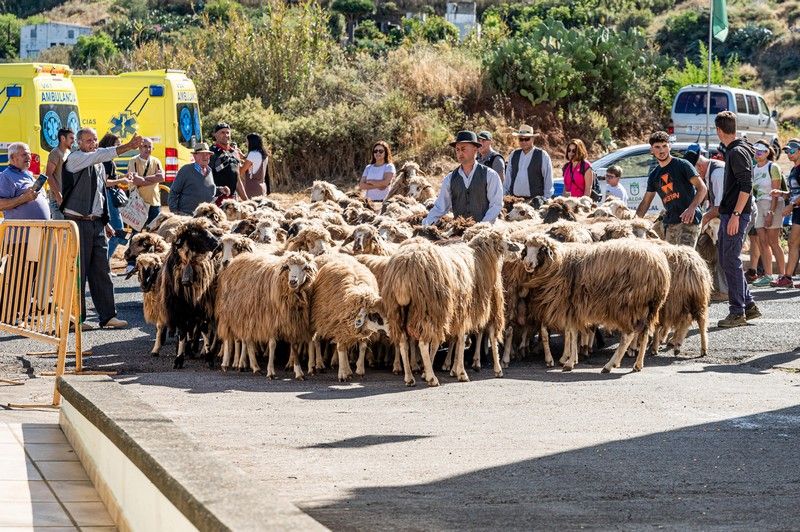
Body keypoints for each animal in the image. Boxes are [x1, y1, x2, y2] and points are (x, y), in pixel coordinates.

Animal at [214, 249, 318, 378]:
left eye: (304, 268)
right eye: (288, 267)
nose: (293, 281)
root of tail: (235, 260)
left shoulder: (292, 321)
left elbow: (294, 345)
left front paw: (299, 372)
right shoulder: (270, 319)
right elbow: (272, 344)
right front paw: (271, 371)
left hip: (248, 316)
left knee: (248, 340)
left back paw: (255, 367)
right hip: (228, 313)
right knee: (227, 338)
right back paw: (225, 363)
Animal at [382, 230, 520, 386]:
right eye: (506, 240)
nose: (518, 249)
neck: (481, 260)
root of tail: (405, 268)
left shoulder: (459, 311)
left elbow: (454, 339)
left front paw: (449, 369)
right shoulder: (471, 308)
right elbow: (467, 339)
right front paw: (466, 372)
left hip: (399, 310)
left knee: (403, 342)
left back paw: (409, 377)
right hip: (429, 309)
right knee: (423, 343)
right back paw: (432, 378)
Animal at [520, 235, 672, 372]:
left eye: (541, 249)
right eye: (526, 248)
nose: (528, 264)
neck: (559, 263)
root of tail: (659, 268)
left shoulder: (570, 305)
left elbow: (572, 333)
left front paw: (569, 362)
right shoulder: (573, 308)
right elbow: (572, 332)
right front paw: (570, 359)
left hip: (627, 305)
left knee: (628, 335)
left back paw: (610, 365)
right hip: (647, 307)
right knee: (644, 333)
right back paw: (637, 365)